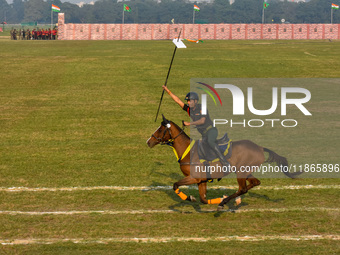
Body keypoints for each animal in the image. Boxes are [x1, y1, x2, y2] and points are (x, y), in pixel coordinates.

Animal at [146, 114, 300, 210]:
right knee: (254, 183)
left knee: (243, 188)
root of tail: (260, 147)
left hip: (241, 171)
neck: (188, 151)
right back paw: (233, 200)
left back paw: (225, 202)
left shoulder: (194, 177)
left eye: (160, 129)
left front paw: (190, 198)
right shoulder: (201, 180)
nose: (148, 141)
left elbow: (175, 185)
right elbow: (203, 199)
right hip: (245, 171)